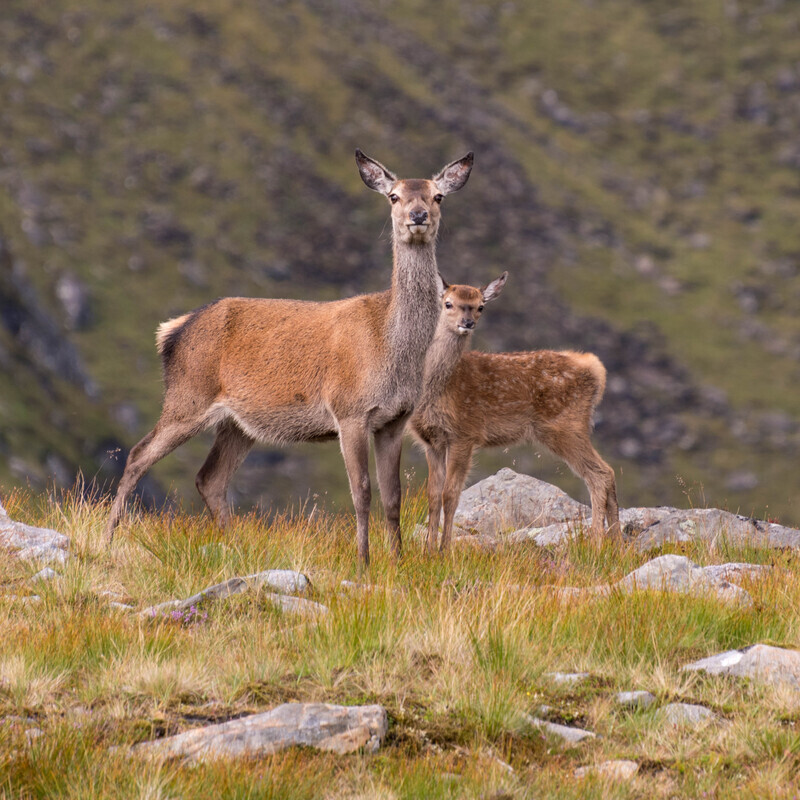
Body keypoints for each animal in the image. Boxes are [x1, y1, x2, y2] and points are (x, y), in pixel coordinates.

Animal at [103, 149, 474, 565]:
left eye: (437, 196)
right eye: (393, 196)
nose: (418, 215)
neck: (392, 348)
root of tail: (173, 330)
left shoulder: (395, 420)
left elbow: (393, 496)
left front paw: (397, 560)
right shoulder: (349, 410)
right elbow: (362, 492)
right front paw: (363, 561)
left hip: (238, 423)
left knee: (209, 478)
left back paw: (236, 548)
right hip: (188, 395)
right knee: (138, 454)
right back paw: (107, 539)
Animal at [409, 275, 619, 553]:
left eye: (480, 306)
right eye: (448, 303)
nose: (467, 323)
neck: (439, 387)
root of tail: (595, 368)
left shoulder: (465, 433)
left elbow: (450, 494)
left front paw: (444, 550)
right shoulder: (432, 441)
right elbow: (433, 495)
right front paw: (428, 550)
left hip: (565, 426)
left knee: (600, 474)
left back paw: (596, 542)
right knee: (607, 473)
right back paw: (617, 542)